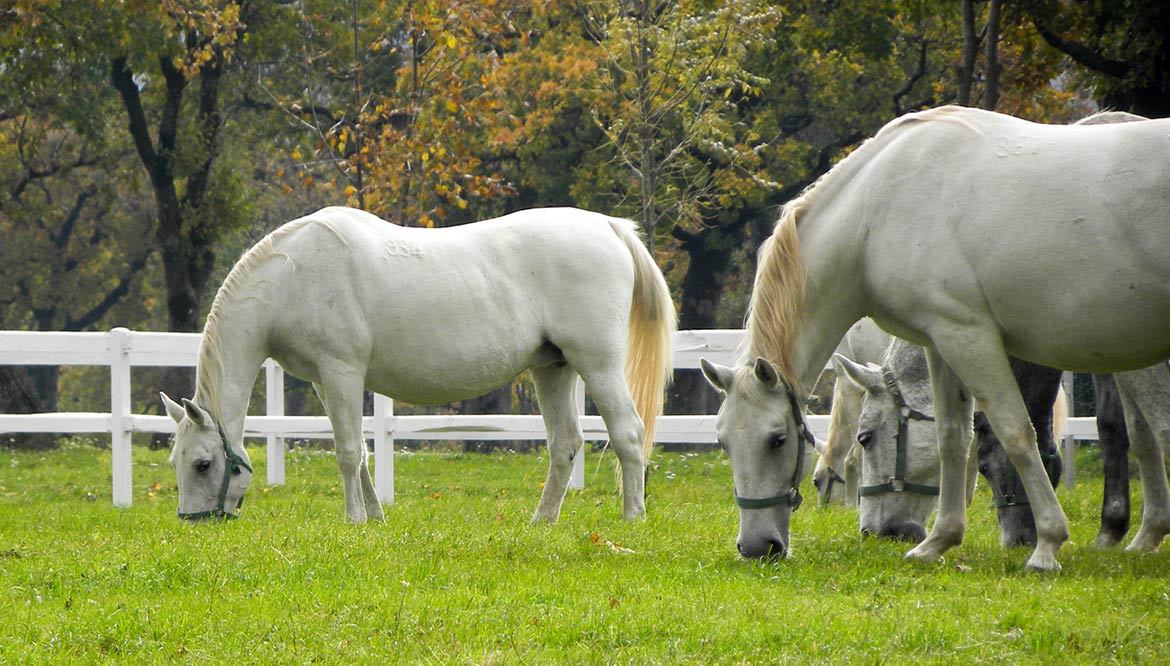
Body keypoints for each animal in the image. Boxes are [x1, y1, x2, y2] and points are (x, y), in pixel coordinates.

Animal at [163, 208, 678, 524]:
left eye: (204, 464)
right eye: (177, 462)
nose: (194, 523)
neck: (293, 275)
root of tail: (608, 226)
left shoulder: (341, 372)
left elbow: (347, 453)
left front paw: (353, 520)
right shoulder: (327, 383)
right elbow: (362, 453)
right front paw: (374, 518)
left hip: (599, 365)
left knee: (629, 434)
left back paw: (632, 518)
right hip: (554, 368)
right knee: (565, 445)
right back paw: (541, 522)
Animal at [702, 106, 1170, 568]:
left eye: (777, 440)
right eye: (723, 442)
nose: (756, 547)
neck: (877, 210)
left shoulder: (970, 337)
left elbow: (1016, 433)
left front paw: (1047, 545)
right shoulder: (941, 342)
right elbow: (951, 437)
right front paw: (939, 541)